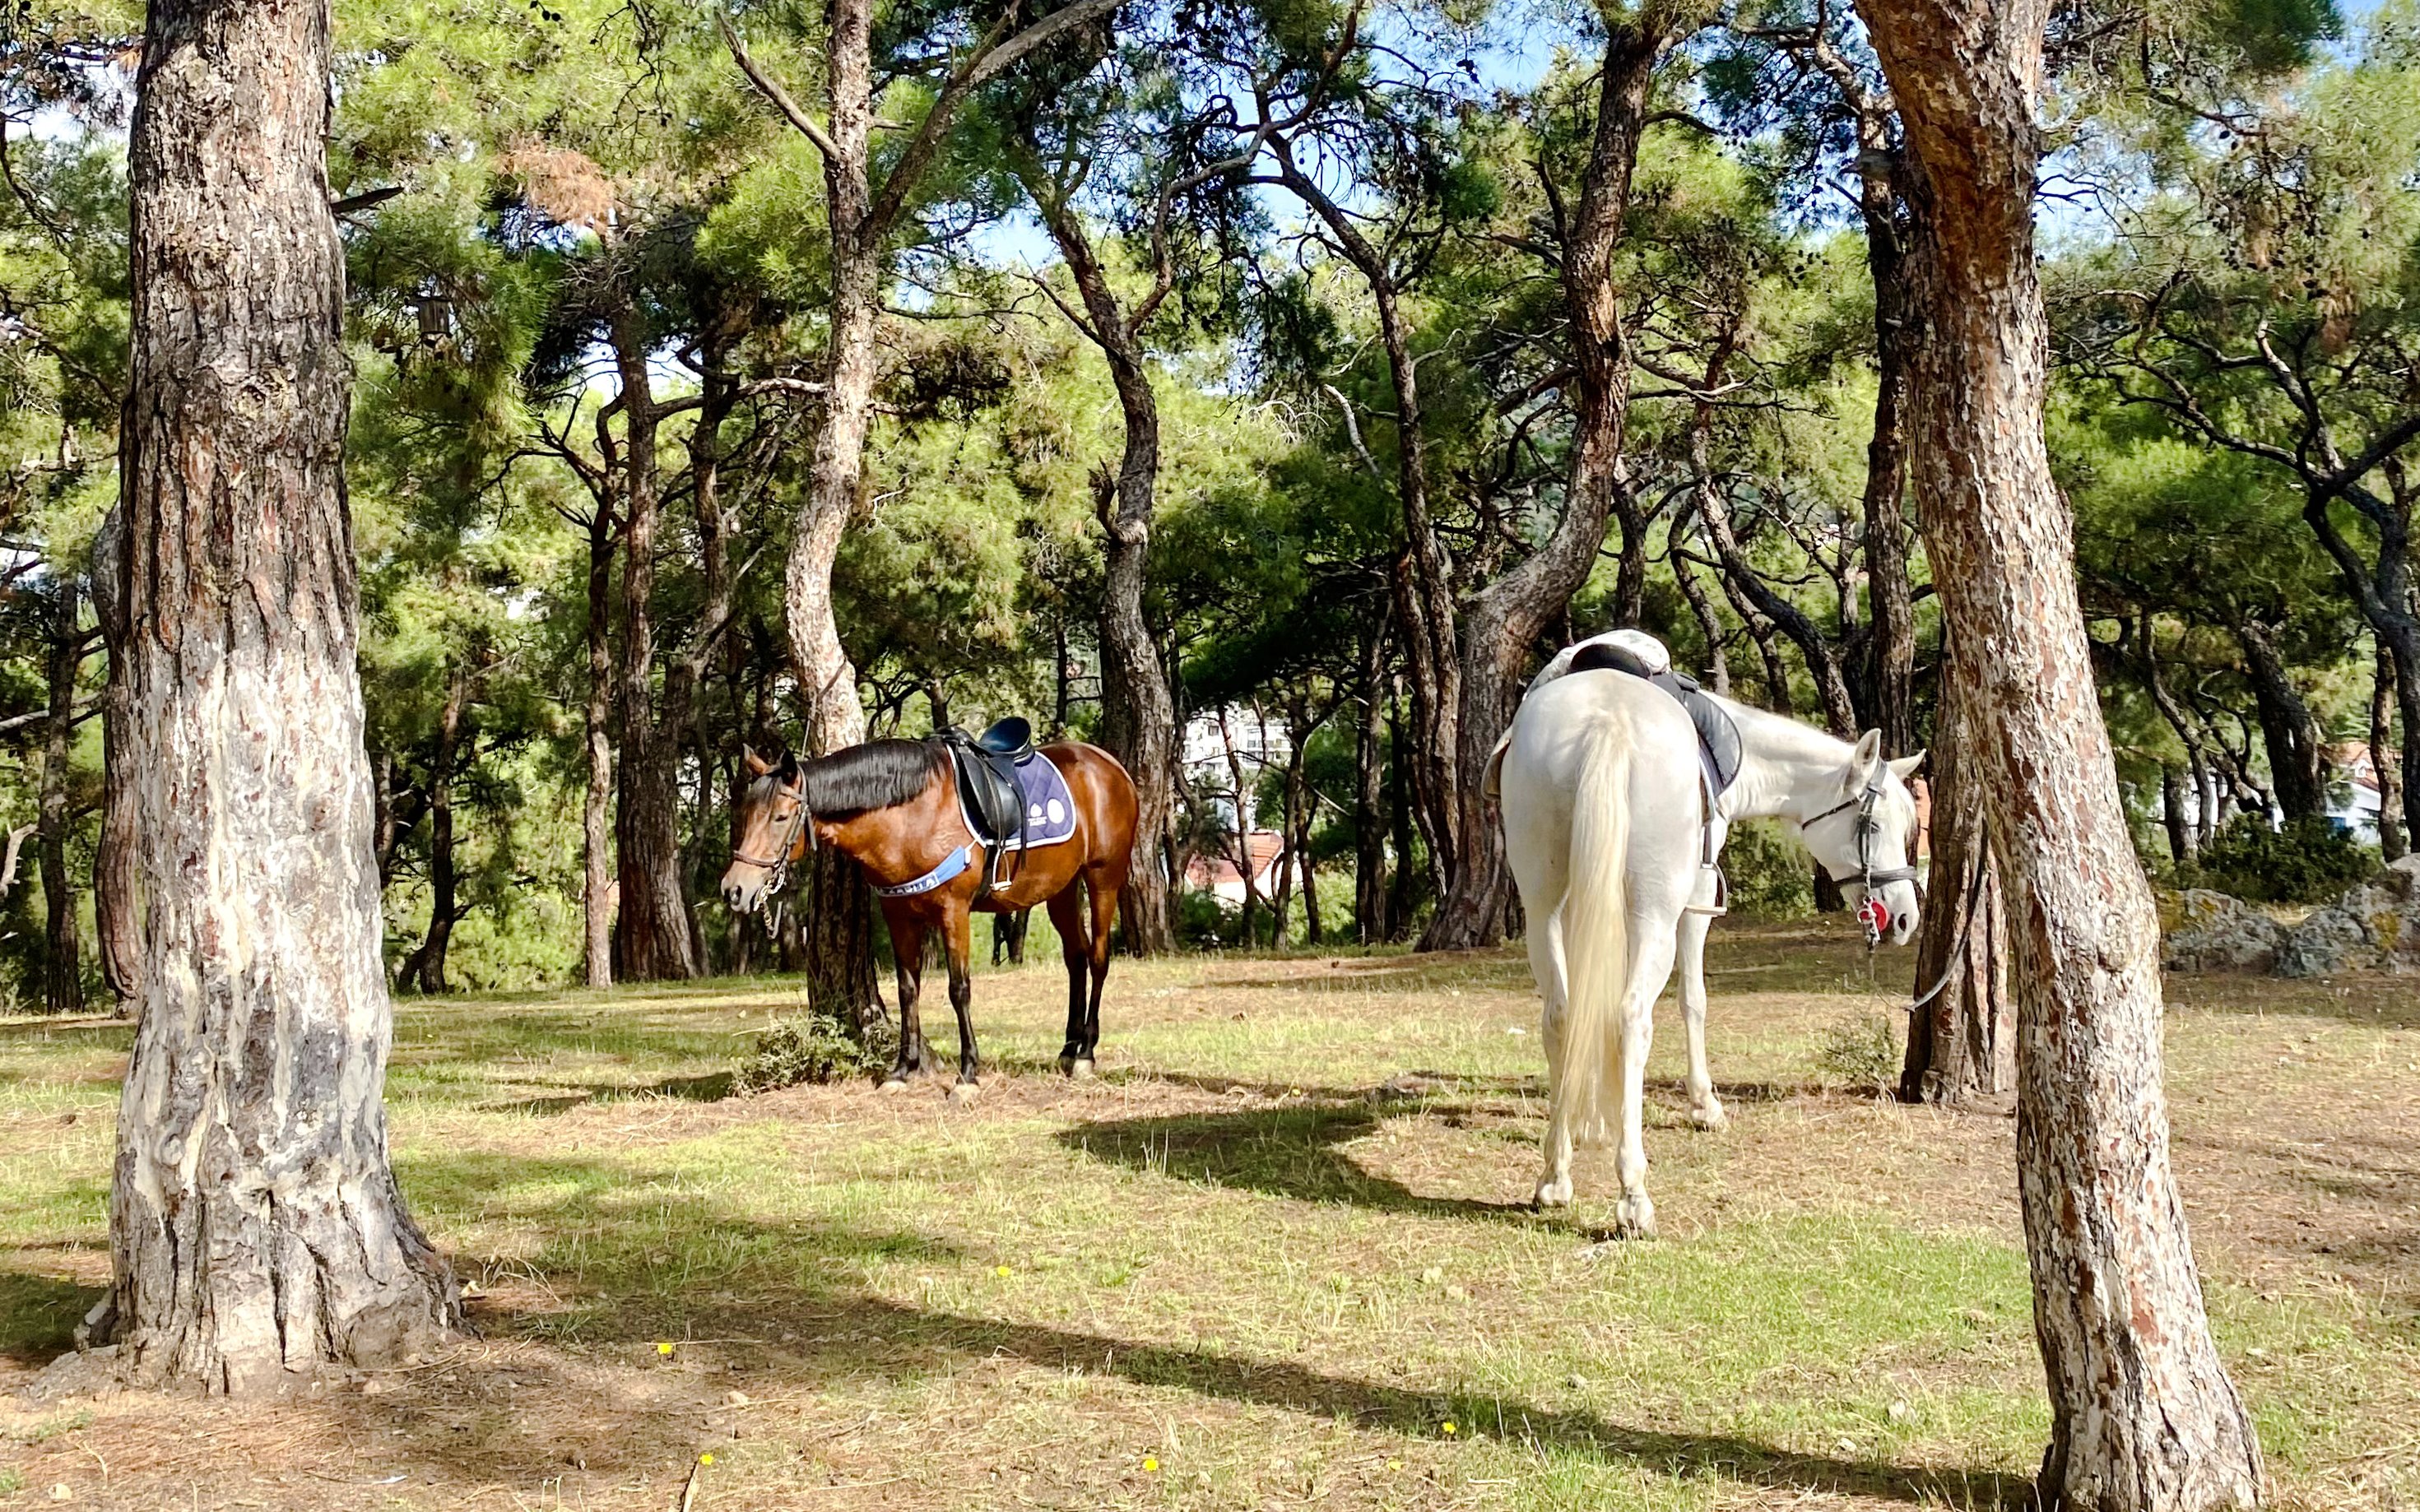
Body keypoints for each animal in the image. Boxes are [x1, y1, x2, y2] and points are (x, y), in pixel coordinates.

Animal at [719, 735, 1139, 1100]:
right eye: (747, 814)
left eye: (780, 817)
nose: (734, 889)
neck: (912, 818)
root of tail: (1111, 765)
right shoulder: (899, 915)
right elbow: (908, 991)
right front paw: (902, 1070)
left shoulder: (954, 912)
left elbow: (959, 989)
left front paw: (968, 1074)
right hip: (1062, 890)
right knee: (1076, 959)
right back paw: (1070, 1047)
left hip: (1103, 880)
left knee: (1098, 959)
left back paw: (1086, 1053)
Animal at [1497, 668, 1924, 1237]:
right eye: (1873, 826)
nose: (1904, 918)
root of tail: (1607, 719)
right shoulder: (1695, 901)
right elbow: (1693, 1000)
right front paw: (1703, 1105)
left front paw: (1589, 1116)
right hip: (1657, 911)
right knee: (1632, 1018)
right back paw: (1633, 1195)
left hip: (1542, 904)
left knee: (1561, 1017)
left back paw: (1555, 1176)